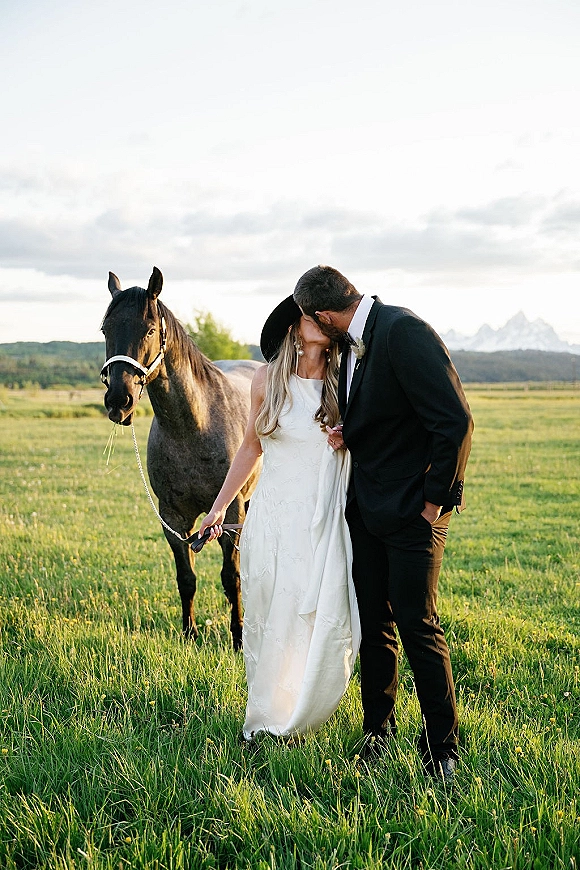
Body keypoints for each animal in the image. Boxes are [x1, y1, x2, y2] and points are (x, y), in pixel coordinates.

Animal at [100, 266, 262, 649]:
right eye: (105, 329)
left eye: (149, 329)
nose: (119, 401)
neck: (194, 426)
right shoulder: (173, 517)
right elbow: (186, 577)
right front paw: (189, 634)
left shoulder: (229, 513)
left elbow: (230, 577)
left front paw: (238, 637)